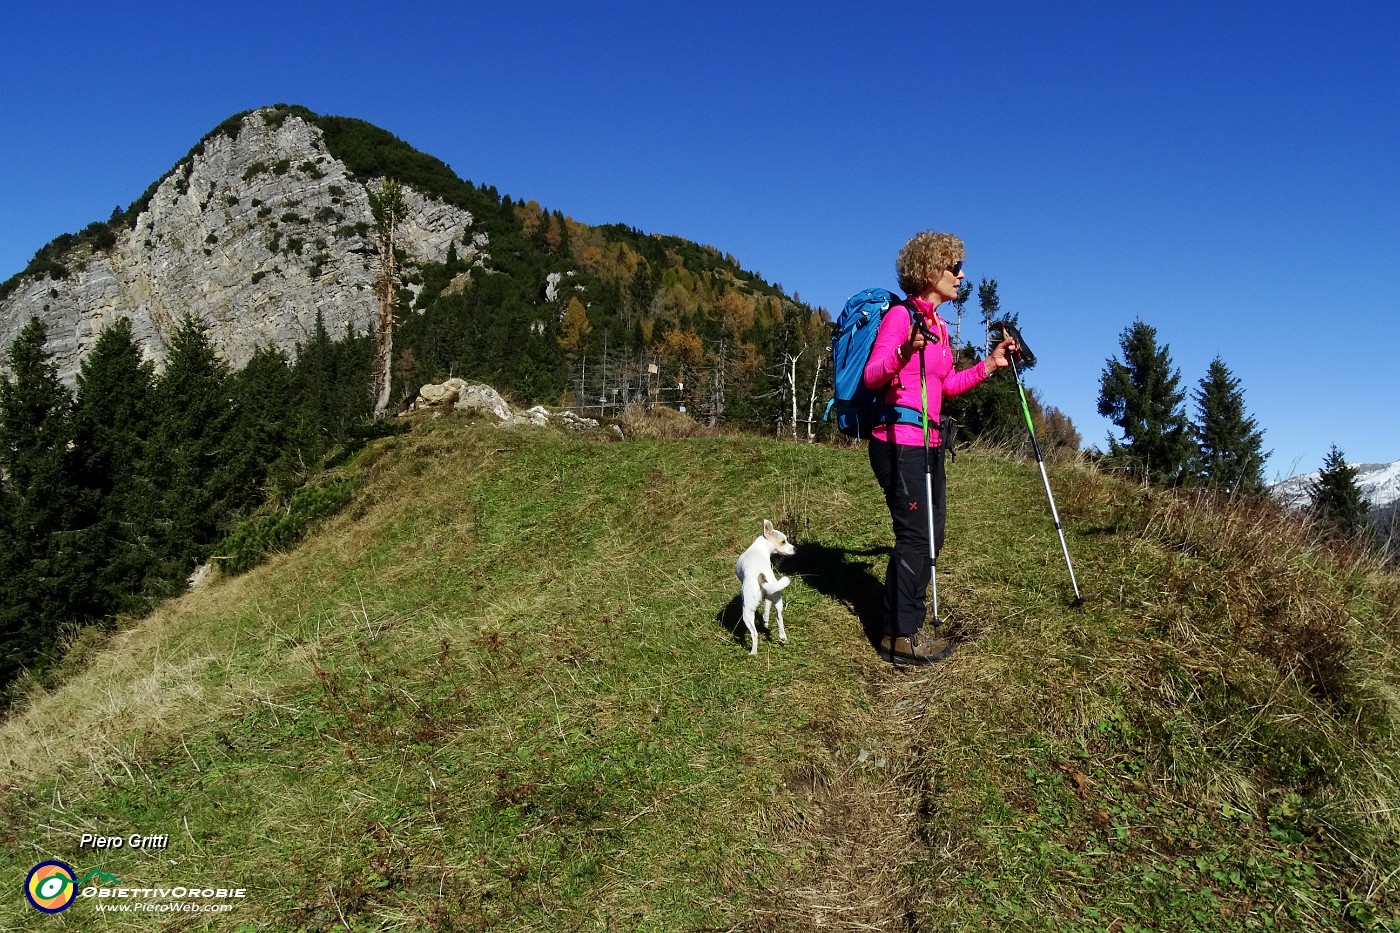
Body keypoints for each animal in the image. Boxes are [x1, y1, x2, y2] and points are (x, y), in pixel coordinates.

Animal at [733, 515, 800, 652]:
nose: (796, 548)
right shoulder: (769, 598)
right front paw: (765, 621)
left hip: (747, 612)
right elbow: (767, 610)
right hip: (777, 598)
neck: (760, 548)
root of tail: (761, 576)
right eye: (783, 541)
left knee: (754, 633)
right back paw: (782, 636)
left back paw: (753, 653)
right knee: (779, 617)